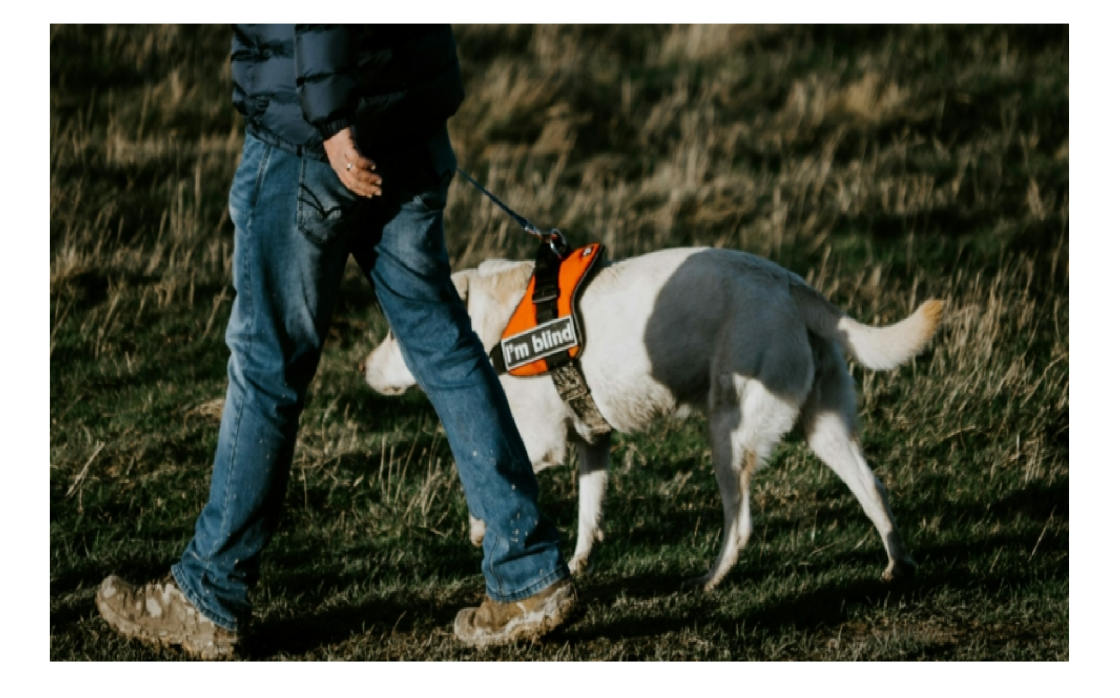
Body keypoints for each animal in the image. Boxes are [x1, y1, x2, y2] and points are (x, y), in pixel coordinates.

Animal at [362, 248, 940, 591]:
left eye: (394, 333)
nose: (362, 368)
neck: (491, 322)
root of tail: (789, 282)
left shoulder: (540, 442)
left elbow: (483, 477)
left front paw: (481, 528)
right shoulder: (592, 444)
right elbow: (587, 514)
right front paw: (576, 566)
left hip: (729, 433)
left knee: (741, 522)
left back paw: (710, 579)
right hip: (825, 428)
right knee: (874, 490)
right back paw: (898, 566)